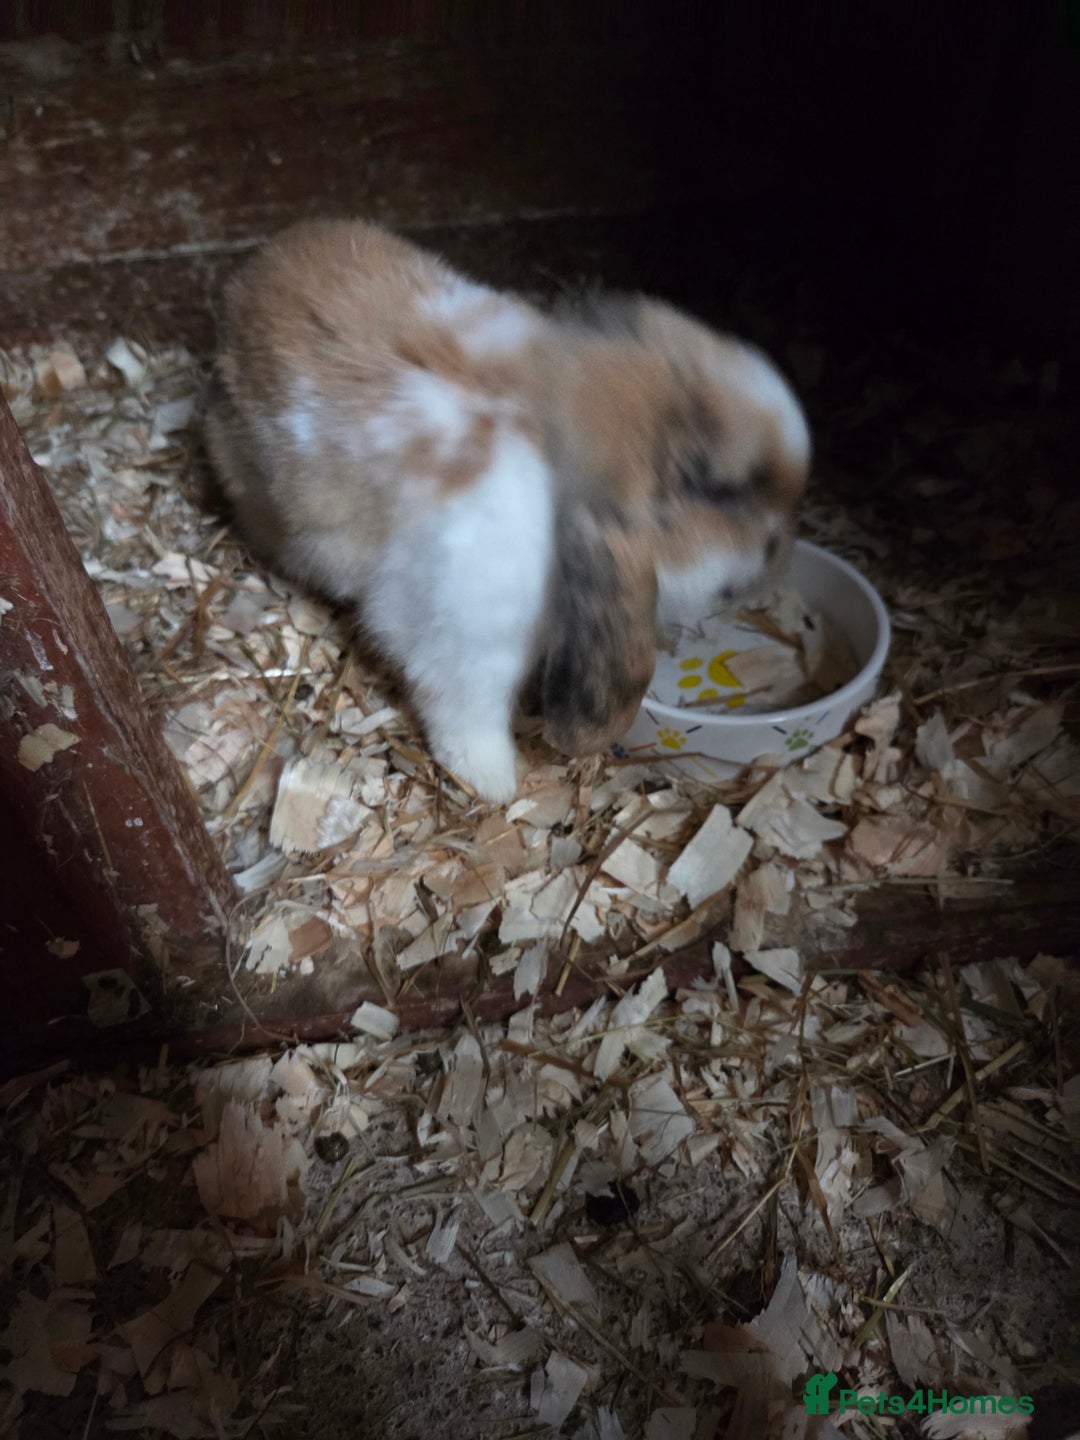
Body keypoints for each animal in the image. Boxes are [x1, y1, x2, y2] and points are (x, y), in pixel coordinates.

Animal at [204, 218, 810, 803]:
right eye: (719, 490)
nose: (780, 560)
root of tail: (241, 285)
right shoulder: (470, 639)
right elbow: (466, 711)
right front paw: (493, 781)